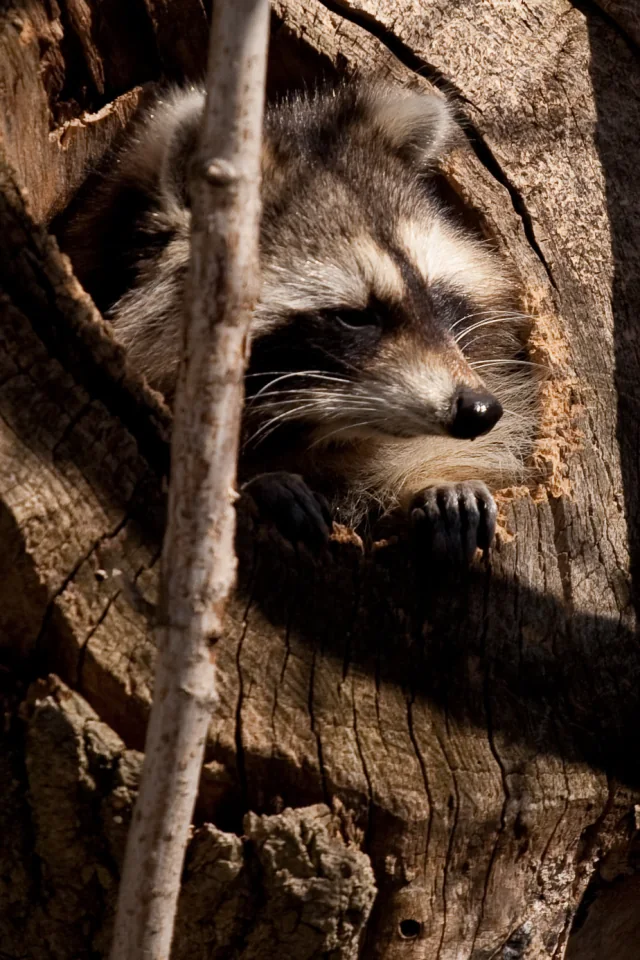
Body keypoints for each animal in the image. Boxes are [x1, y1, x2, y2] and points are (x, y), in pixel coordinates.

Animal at [60, 81, 536, 561]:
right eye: (355, 318)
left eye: (434, 296)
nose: (479, 409)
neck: (310, 434)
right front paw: (264, 483)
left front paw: (440, 480)